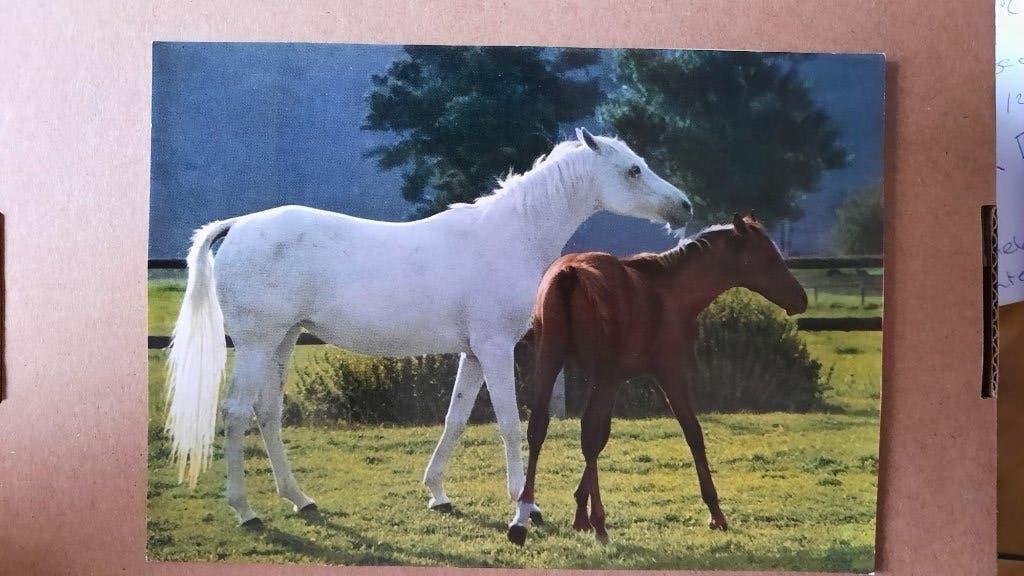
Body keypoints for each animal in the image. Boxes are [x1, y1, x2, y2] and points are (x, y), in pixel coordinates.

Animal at [164, 128, 693, 529]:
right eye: (633, 170)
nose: (685, 207)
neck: (511, 234)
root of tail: (237, 226)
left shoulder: (474, 353)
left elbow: (455, 418)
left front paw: (437, 493)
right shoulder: (495, 348)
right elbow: (509, 423)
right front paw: (525, 506)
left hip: (284, 340)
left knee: (268, 413)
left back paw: (300, 499)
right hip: (256, 344)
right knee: (236, 414)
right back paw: (246, 511)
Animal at [507, 213, 808, 545]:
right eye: (769, 257)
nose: (801, 299)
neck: (670, 291)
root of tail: (570, 273)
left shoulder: (615, 379)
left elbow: (602, 436)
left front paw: (578, 513)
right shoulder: (667, 373)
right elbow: (692, 432)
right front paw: (715, 513)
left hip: (550, 359)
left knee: (539, 426)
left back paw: (522, 519)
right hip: (601, 372)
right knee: (586, 432)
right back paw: (599, 521)